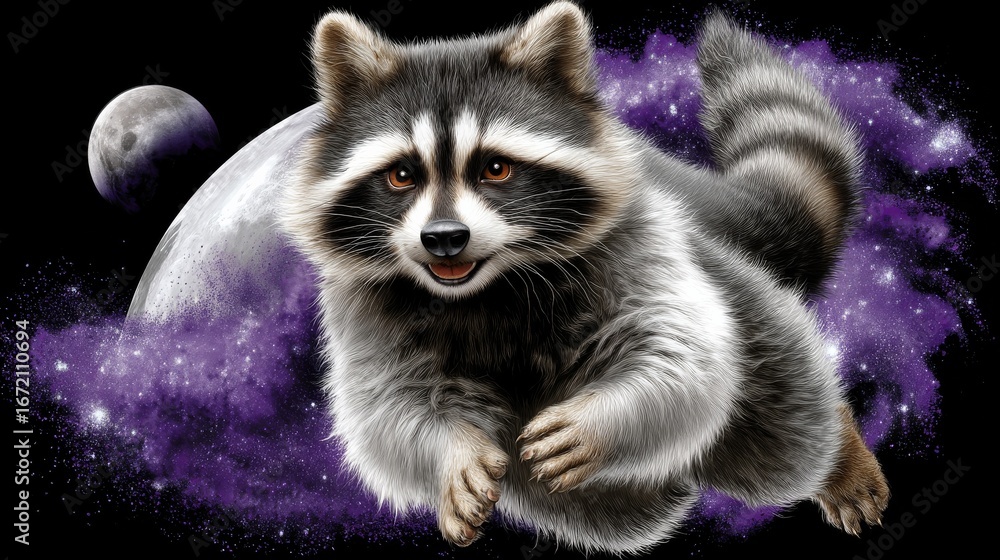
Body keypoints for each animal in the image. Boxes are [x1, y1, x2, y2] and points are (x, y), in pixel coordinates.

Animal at [279, 2, 890, 554]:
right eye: (402, 175)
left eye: (495, 168)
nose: (444, 238)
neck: (486, 288)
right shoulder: (361, 303)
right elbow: (387, 408)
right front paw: (450, 453)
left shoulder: (640, 239)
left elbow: (682, 349)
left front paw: (605, 422)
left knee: (782, 433)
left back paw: (837, 450)